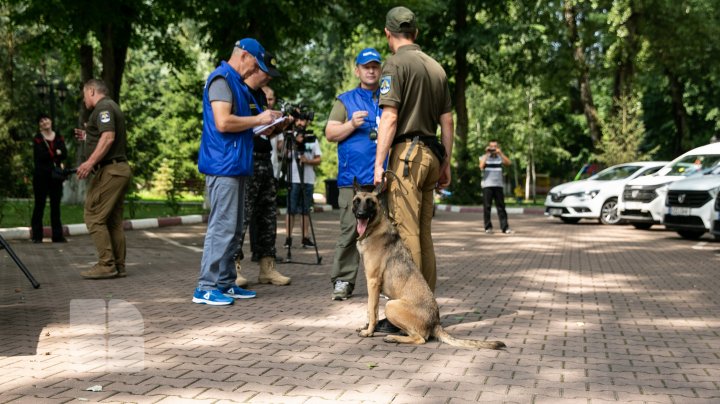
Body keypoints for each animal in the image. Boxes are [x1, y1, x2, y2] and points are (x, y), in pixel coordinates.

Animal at [352, 181, 504, 348]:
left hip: (391, 305)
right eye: (356, 201)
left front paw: (369, 331)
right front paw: (366, 327)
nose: (360, 214)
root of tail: (436, 323)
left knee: (420, 339)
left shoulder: (373, 282)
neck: (375, 227)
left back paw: (393, 337)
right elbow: (369, 310)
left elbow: (372, 310)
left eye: (370, 203)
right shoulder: (372, 284)